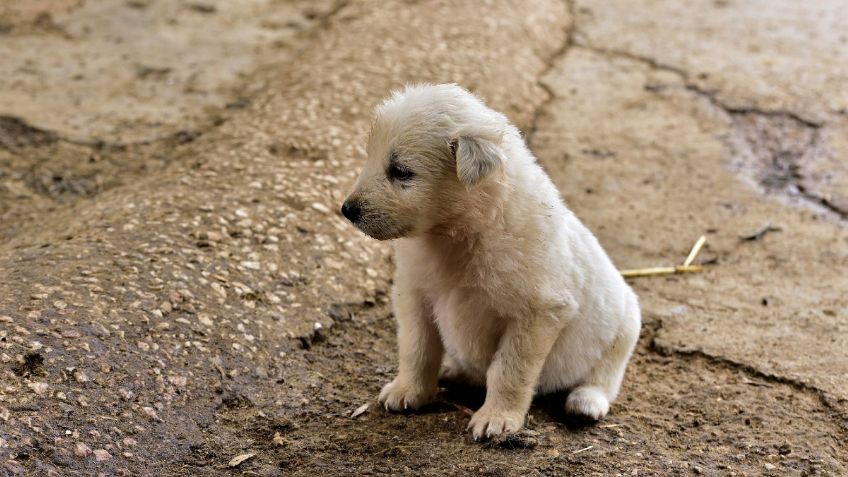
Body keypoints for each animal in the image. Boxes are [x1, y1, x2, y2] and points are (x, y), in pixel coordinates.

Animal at [342, 82, 640, 438]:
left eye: (401, 172)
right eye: (370, 157)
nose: (347, 210)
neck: (460, 232)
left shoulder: (539, 311)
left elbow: (509, 369)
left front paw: (497, 419)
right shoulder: (413, 292)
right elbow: (417, 347)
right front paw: (407, 391)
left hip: (625, 327)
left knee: (605, 376)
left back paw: (585, 403)